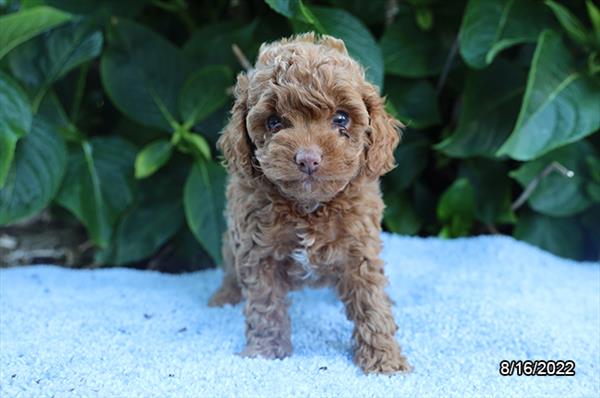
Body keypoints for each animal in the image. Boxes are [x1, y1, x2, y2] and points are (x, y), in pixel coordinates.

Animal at [209, 33, 410, 374]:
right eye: (274, 122)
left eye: (341, 118)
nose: (308, 159)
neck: (309, 208)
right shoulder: (257, 250)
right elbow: (264, 305)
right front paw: (265, 353)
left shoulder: (360, 247)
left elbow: (371, 302)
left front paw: (385, 360)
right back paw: (225, 295)